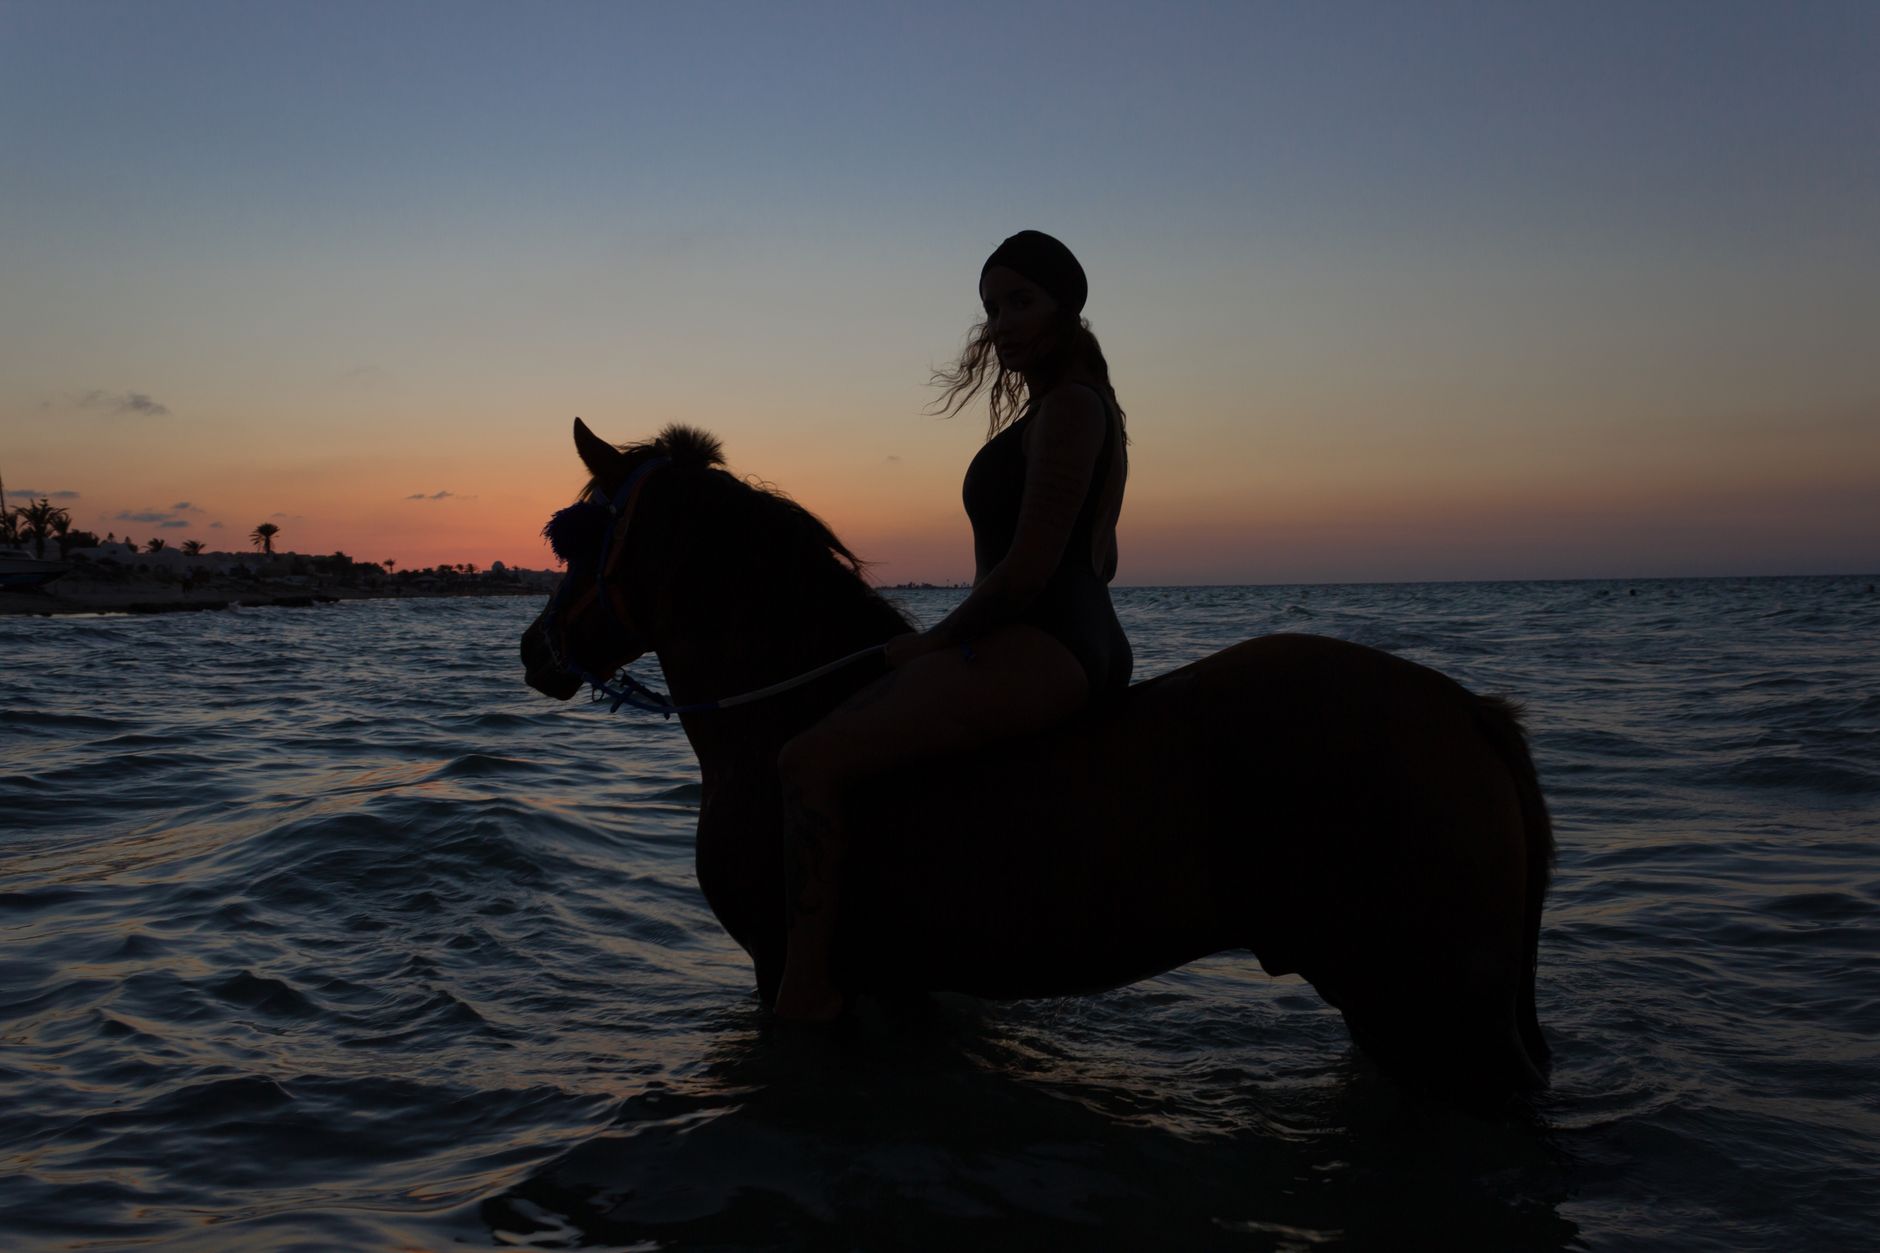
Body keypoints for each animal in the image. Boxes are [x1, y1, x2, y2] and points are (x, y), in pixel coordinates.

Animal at [520, 418, 1555, 1109]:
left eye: (576, 536)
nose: (535, 651)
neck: (786, 705)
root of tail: (1469, 712)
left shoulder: (789, 967)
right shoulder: (905, 983)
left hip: (1436, 1011)